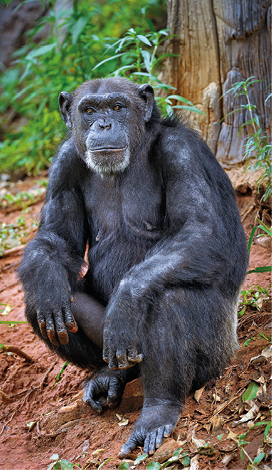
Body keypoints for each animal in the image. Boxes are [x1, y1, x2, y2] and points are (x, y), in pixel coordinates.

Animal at [18, 76, 249, 456]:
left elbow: (202, 230)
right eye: (89, 110)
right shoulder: (63, 165)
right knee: (49, 305)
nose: (103, 124)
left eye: (117, 107)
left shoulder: (183, 154)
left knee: (170, 301)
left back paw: (158, 412)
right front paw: (49, 286)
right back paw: (111, 374)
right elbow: (56, 239)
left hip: (220, 351)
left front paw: (126, 302)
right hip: (126, 356)